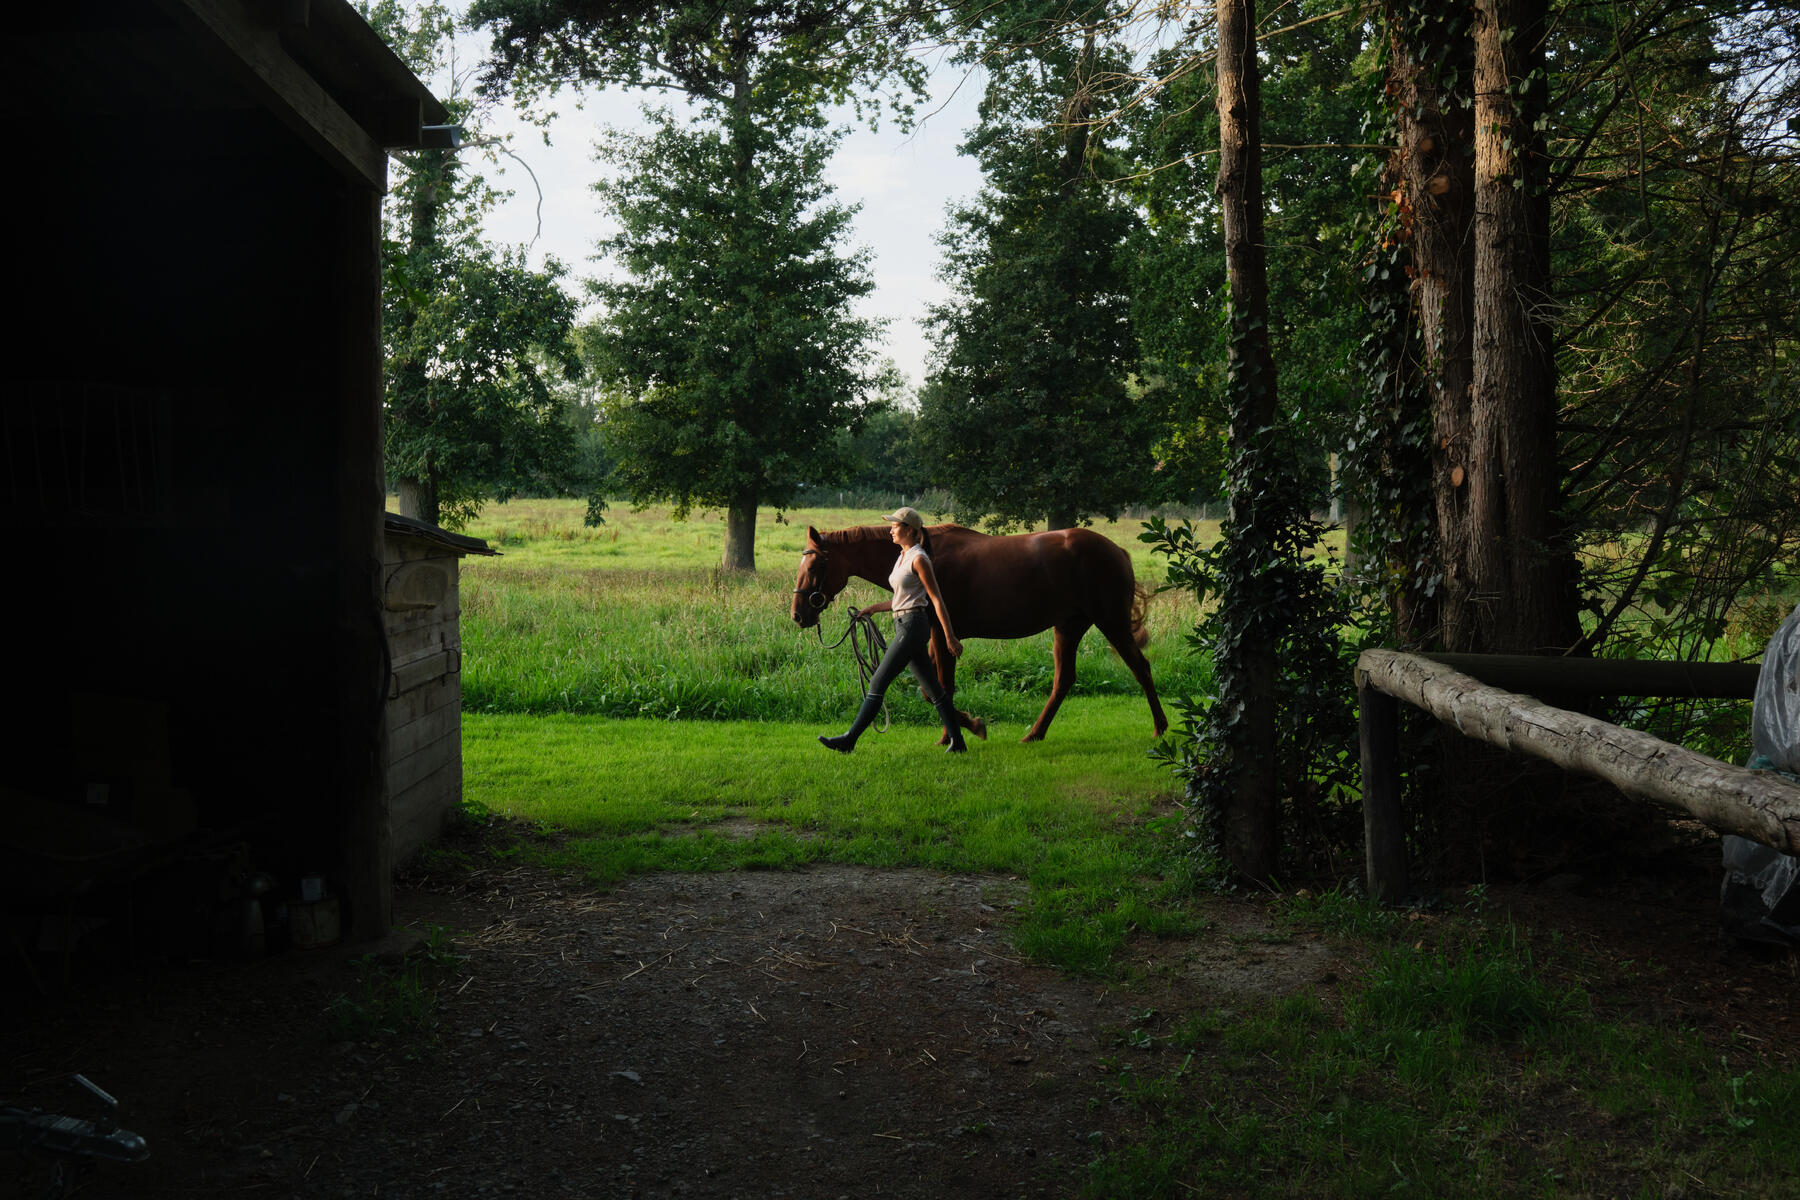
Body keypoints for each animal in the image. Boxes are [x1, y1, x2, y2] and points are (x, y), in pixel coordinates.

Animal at [788, 521, 1166, 741]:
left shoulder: (942, 635)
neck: (927, 555)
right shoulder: (931, 639)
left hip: (1111, 622)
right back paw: (1034, 734)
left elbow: (942, 688)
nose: (798, 614)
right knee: (1064, 680)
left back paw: (1160, 728)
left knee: (1140, 668)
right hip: (1068, 627)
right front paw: (966, 727)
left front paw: (956, 734)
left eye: (816, 564)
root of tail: (1117, 550)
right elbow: (930, 690)